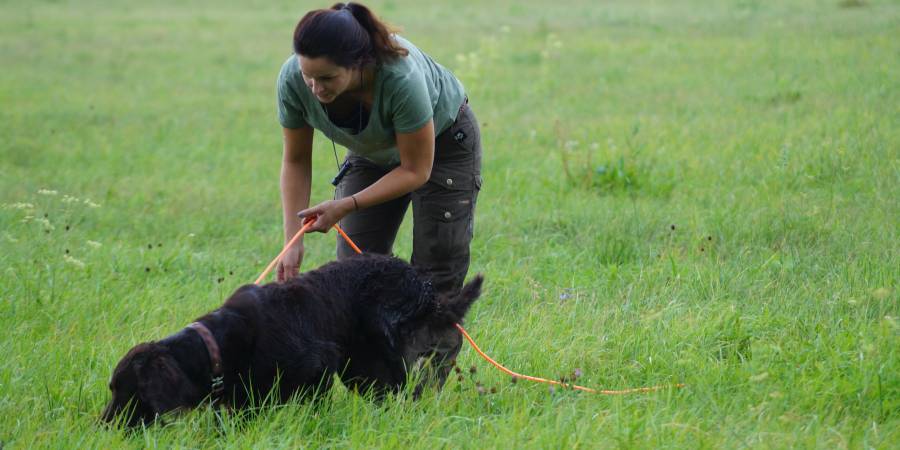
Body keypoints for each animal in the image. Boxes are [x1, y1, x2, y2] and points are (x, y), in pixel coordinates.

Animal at [101, 255, 482, 428]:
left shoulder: (319, 365)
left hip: (375, 364)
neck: (221, 346)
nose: (103, 427)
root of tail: (424, 289)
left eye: (127, 390)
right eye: (114, 388)